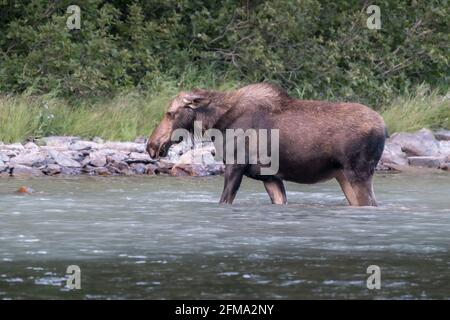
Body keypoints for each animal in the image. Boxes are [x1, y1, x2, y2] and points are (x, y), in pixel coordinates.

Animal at [148, 84, 386, 206]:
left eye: (170, 113)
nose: (151, 145)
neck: (218, 125)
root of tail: (384, 127)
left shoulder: (235, 165)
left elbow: (224, 200)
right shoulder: (270, 176)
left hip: (359, 172)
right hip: (343, 175)